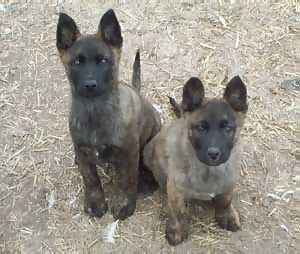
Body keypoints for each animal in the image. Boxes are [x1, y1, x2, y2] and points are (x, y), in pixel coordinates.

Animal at [55, 9, 161, 220]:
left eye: (103, 60)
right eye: (77, 62)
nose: (90, 85)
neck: (95, 111)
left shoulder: (129, 152)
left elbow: (127, 180)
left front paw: (124, 205)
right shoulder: (83, 149)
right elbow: (91, 179)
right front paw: (95, 203)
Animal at [144, 76, 247, 245]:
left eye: (228, 128)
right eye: (201, 128)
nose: (213, 153)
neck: (208, 170)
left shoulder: (229, 182)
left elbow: (225, 200)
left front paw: (227, 216)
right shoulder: (175, 188)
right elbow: (178, 211)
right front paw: (177, 230)